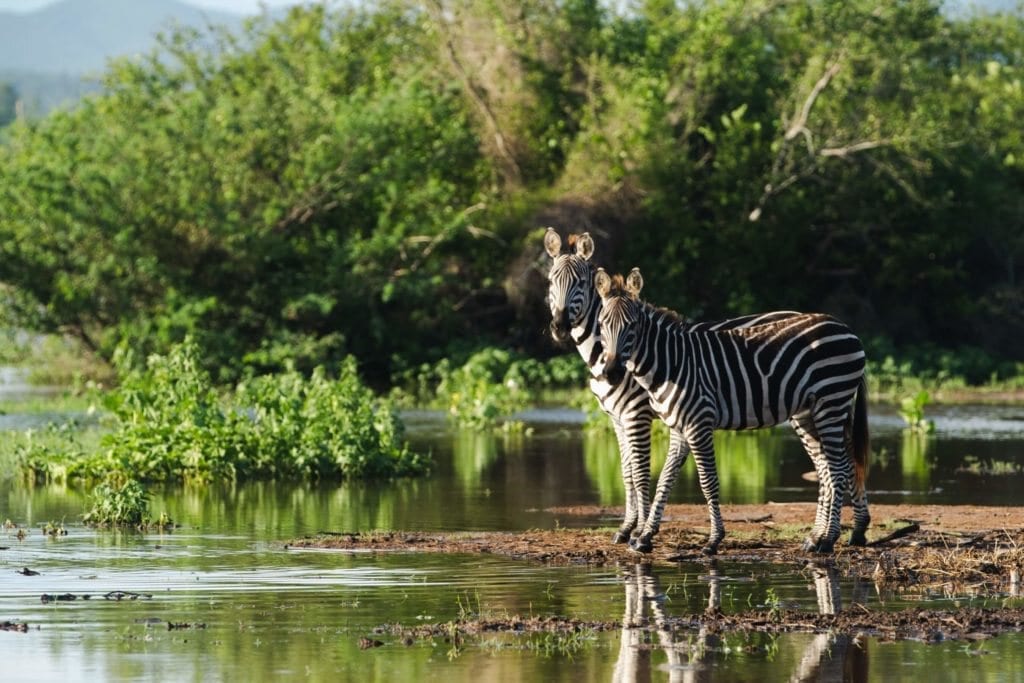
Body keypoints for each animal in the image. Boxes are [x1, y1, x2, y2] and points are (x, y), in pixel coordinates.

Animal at [540, 229, 811, 548]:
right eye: (551, 281)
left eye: (580, 283)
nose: (559, 327)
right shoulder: (616, 418)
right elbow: (626, 472)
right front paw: (627, 528)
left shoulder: (637, 415)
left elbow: (641, 473)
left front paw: (639, 530)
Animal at [593, 266, 872, 557]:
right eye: (601, 325)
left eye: (632, 326)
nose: (611, 373)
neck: (669, 364)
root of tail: (847, 329)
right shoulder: (679, 428)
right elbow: (665, 480)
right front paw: (645, 537)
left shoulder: (699, 422)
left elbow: (708, 482)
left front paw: (713, 540)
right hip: (811, 412)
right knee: (827, 470)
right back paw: (816, 537)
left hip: (832, 402)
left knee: (839, 468)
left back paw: (828, 539)